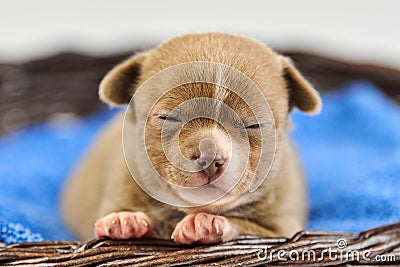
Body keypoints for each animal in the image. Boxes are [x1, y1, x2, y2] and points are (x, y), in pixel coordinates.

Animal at [60, 33, 322, 245]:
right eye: (169, 118)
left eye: (253, 125)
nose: (210, 158)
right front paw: (126, 220)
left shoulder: (284, 228)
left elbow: (250, 228)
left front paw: (206, 224)